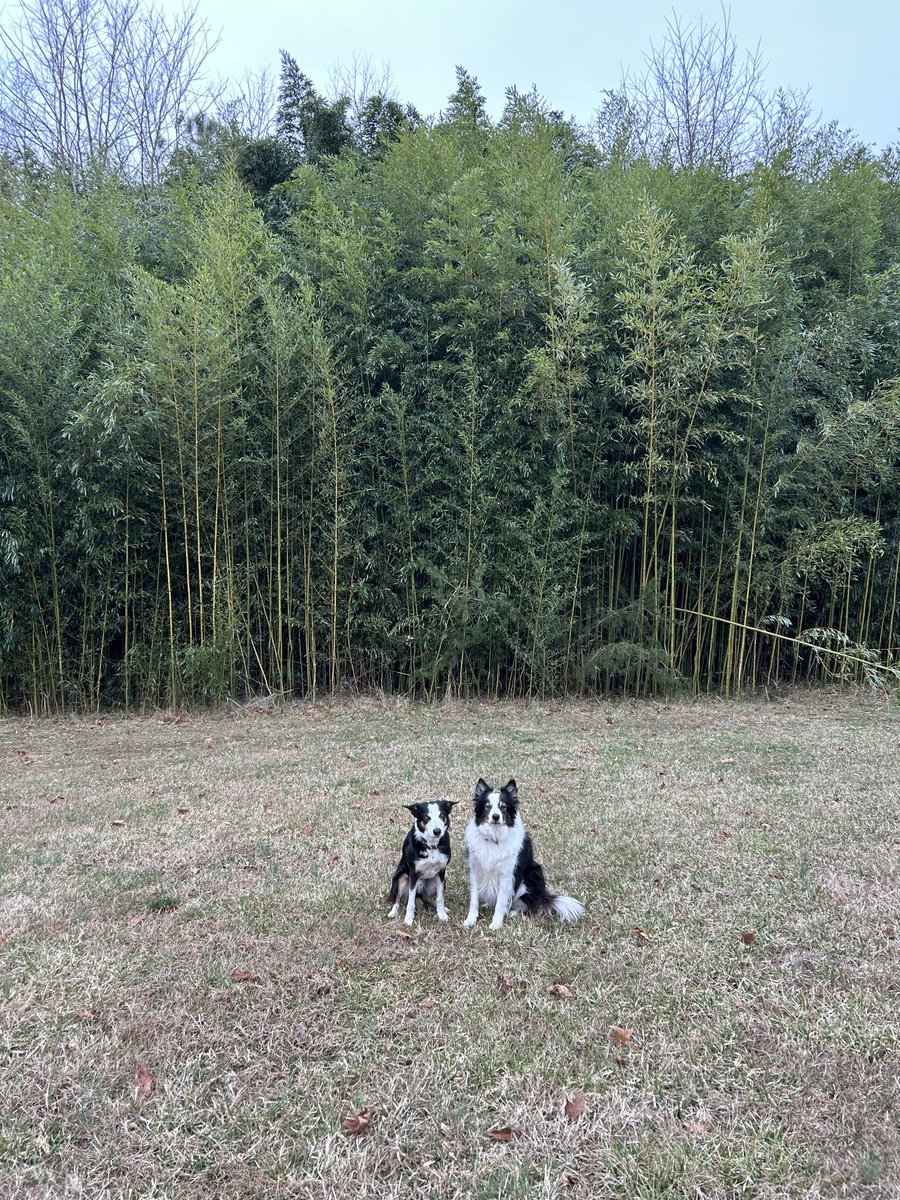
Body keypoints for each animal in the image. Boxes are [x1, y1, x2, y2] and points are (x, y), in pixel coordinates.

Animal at [465, 772, 585, 931]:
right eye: (487, 807)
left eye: (503, 807)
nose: (495, 817)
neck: (494, 838)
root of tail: (543, 895)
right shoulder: (475, 871)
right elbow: (474, 900)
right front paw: (470, 920)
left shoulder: (507, 876)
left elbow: (501, 903)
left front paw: (496, 923)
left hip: (529, 878)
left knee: (527, 904)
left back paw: (514, 912)